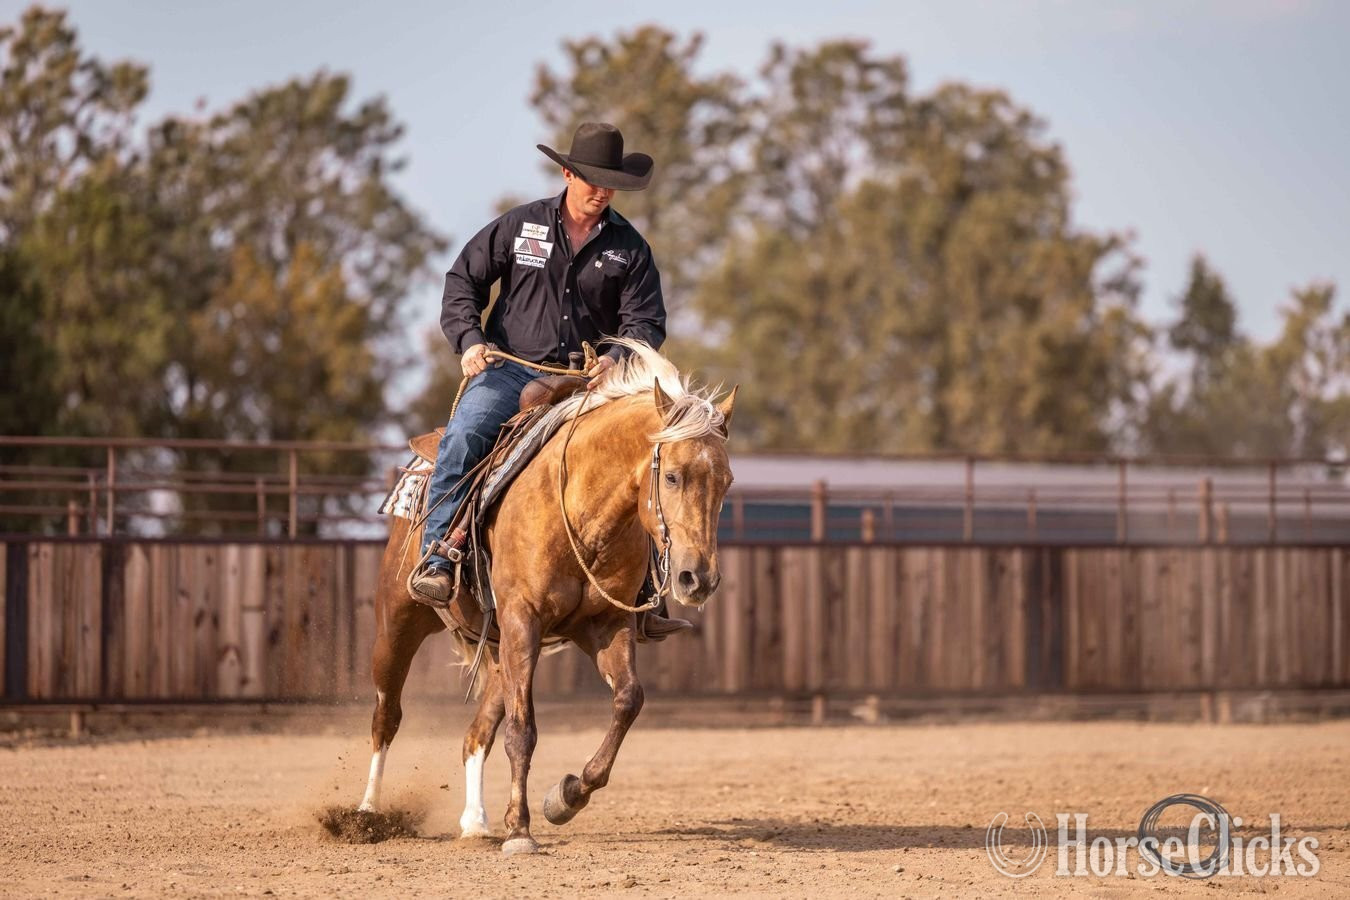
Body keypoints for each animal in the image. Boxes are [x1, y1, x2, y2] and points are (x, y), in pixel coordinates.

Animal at [357, 340, 736, 854]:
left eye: (727, 481)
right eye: (673, 476)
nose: (698, 578)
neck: (582, 509)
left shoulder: (604, 625)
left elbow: (628, 700)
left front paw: (567, 796)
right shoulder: (524, 619)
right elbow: (523, 730)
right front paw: (520, 829)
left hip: (499, 651)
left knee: (476, 735)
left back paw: (475, 821)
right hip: (398, 623)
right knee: (387, 715)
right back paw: (366, 813)